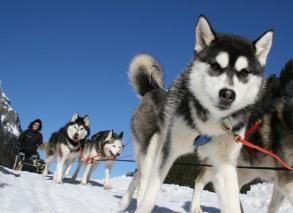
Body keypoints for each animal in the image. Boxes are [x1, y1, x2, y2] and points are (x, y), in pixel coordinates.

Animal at [118, 15, 272, 213]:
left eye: (244, 72)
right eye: (215, 66)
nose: (227, 94)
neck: (209, 124)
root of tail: (153, 91)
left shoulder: (224, 164)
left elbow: (232, 203)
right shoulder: (168, 151)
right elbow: (149, 196)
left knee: (138, 174)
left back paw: (123, 203)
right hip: (152, 147)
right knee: (144, 179)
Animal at [190, 59, 292, 213]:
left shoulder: (281, 180)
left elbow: (273, 206)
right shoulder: (286, 178)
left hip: (246, 170)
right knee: (199, 180)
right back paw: (195, 207)